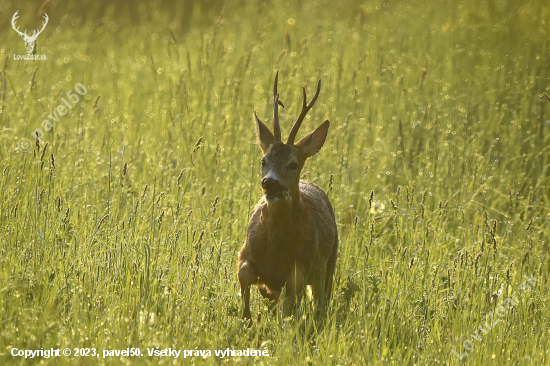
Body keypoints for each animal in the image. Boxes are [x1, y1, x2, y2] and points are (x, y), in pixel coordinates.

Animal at [238, 72, 338, 320]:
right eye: (263, 160)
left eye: (292, 164)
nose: (269, 183)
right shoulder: (245, 253)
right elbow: (245, 276)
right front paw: (246, 318)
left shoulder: (299, 268)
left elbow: (290, 303)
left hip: (330, 262)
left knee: (320, 300)